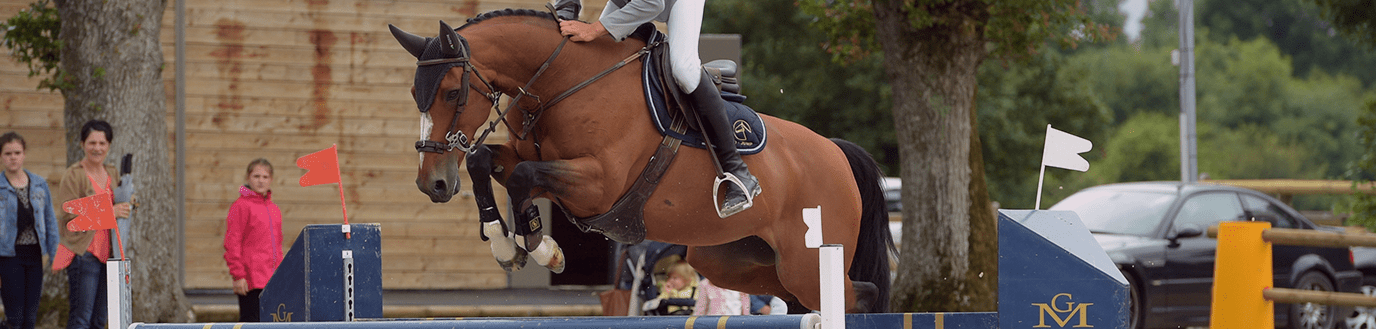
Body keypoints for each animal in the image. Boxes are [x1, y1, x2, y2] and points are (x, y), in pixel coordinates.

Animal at [393, 8, 897, 313]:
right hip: (733, 261)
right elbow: (485, 161)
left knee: (856, 294)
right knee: (801, 299)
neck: (561, 83)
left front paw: (541, 247)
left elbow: (521, 176)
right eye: (415, 93)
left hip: (807, 261)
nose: (431, 184)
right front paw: (504, 243)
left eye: (451, 93)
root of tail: (836, 151)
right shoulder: (536, 164)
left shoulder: (598, 185)